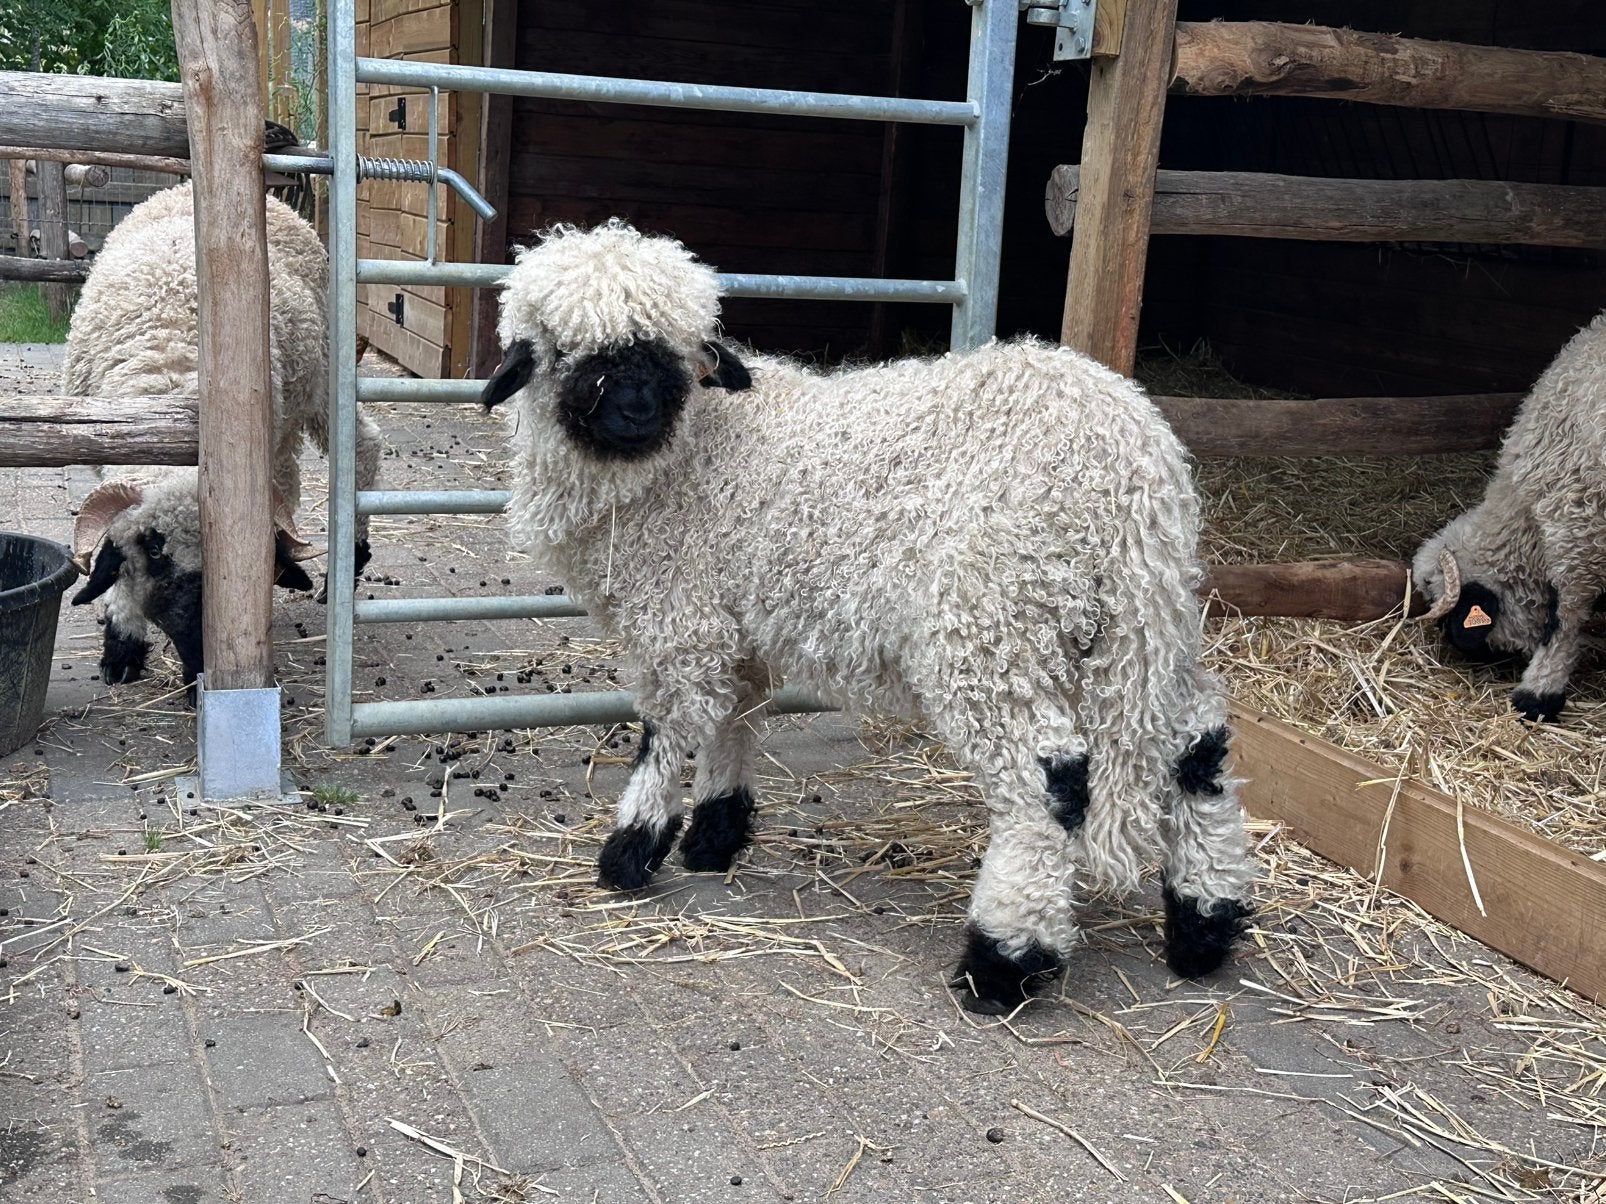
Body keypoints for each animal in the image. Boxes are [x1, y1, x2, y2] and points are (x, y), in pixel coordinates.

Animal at [63, 181, 382, 696]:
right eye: (155, 550)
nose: (199, 662)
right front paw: (121, 648)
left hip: (321, 376)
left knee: (362, 444)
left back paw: (345, 566)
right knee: (290, 478)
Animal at [480, 220, 1258, 1013]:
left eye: (674, 354)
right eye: (573, 355)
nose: (638, 414)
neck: (694, 452)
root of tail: (1132, 460)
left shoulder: (682, 618)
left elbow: (669, 731)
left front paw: (631, 849)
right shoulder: (737, 625)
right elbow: (736, 717)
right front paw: (715, 835)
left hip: (991, 626)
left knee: (1048, 783)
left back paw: (1004, 958)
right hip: (1144, 622)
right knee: (1196, 748)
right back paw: (1204, 925)